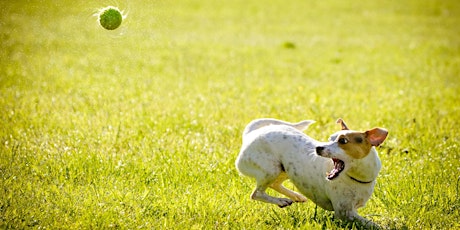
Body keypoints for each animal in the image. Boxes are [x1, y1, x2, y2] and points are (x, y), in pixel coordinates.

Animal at [237, 117, 388, 227]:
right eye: (330, 138)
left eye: (343, 141)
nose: (318, 148)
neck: (356, 177)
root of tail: (250, 134)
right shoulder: (345, 212)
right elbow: (372, 224)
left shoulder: (351, 211)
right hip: (271, 169)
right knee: (256, 193)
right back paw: (281, 200)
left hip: (284, 170)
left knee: (274, 184)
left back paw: (296, 196)